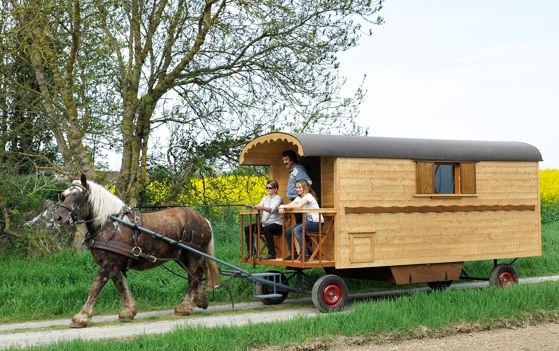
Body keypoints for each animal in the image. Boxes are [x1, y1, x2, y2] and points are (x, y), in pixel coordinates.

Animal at [52, 175, 219, 328]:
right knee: (197, 274)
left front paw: (81, 317)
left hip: (192, 254)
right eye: (64, 196)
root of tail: (203, 219)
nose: (58, 218)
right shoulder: (113, 265)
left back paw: (184, 307)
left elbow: (95, 288)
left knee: (194, 276)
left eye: (78, 197)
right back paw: (200, 300)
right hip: (182, 257)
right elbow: (121, 286)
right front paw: (128, 311)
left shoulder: (108, 265)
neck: (110, 225)